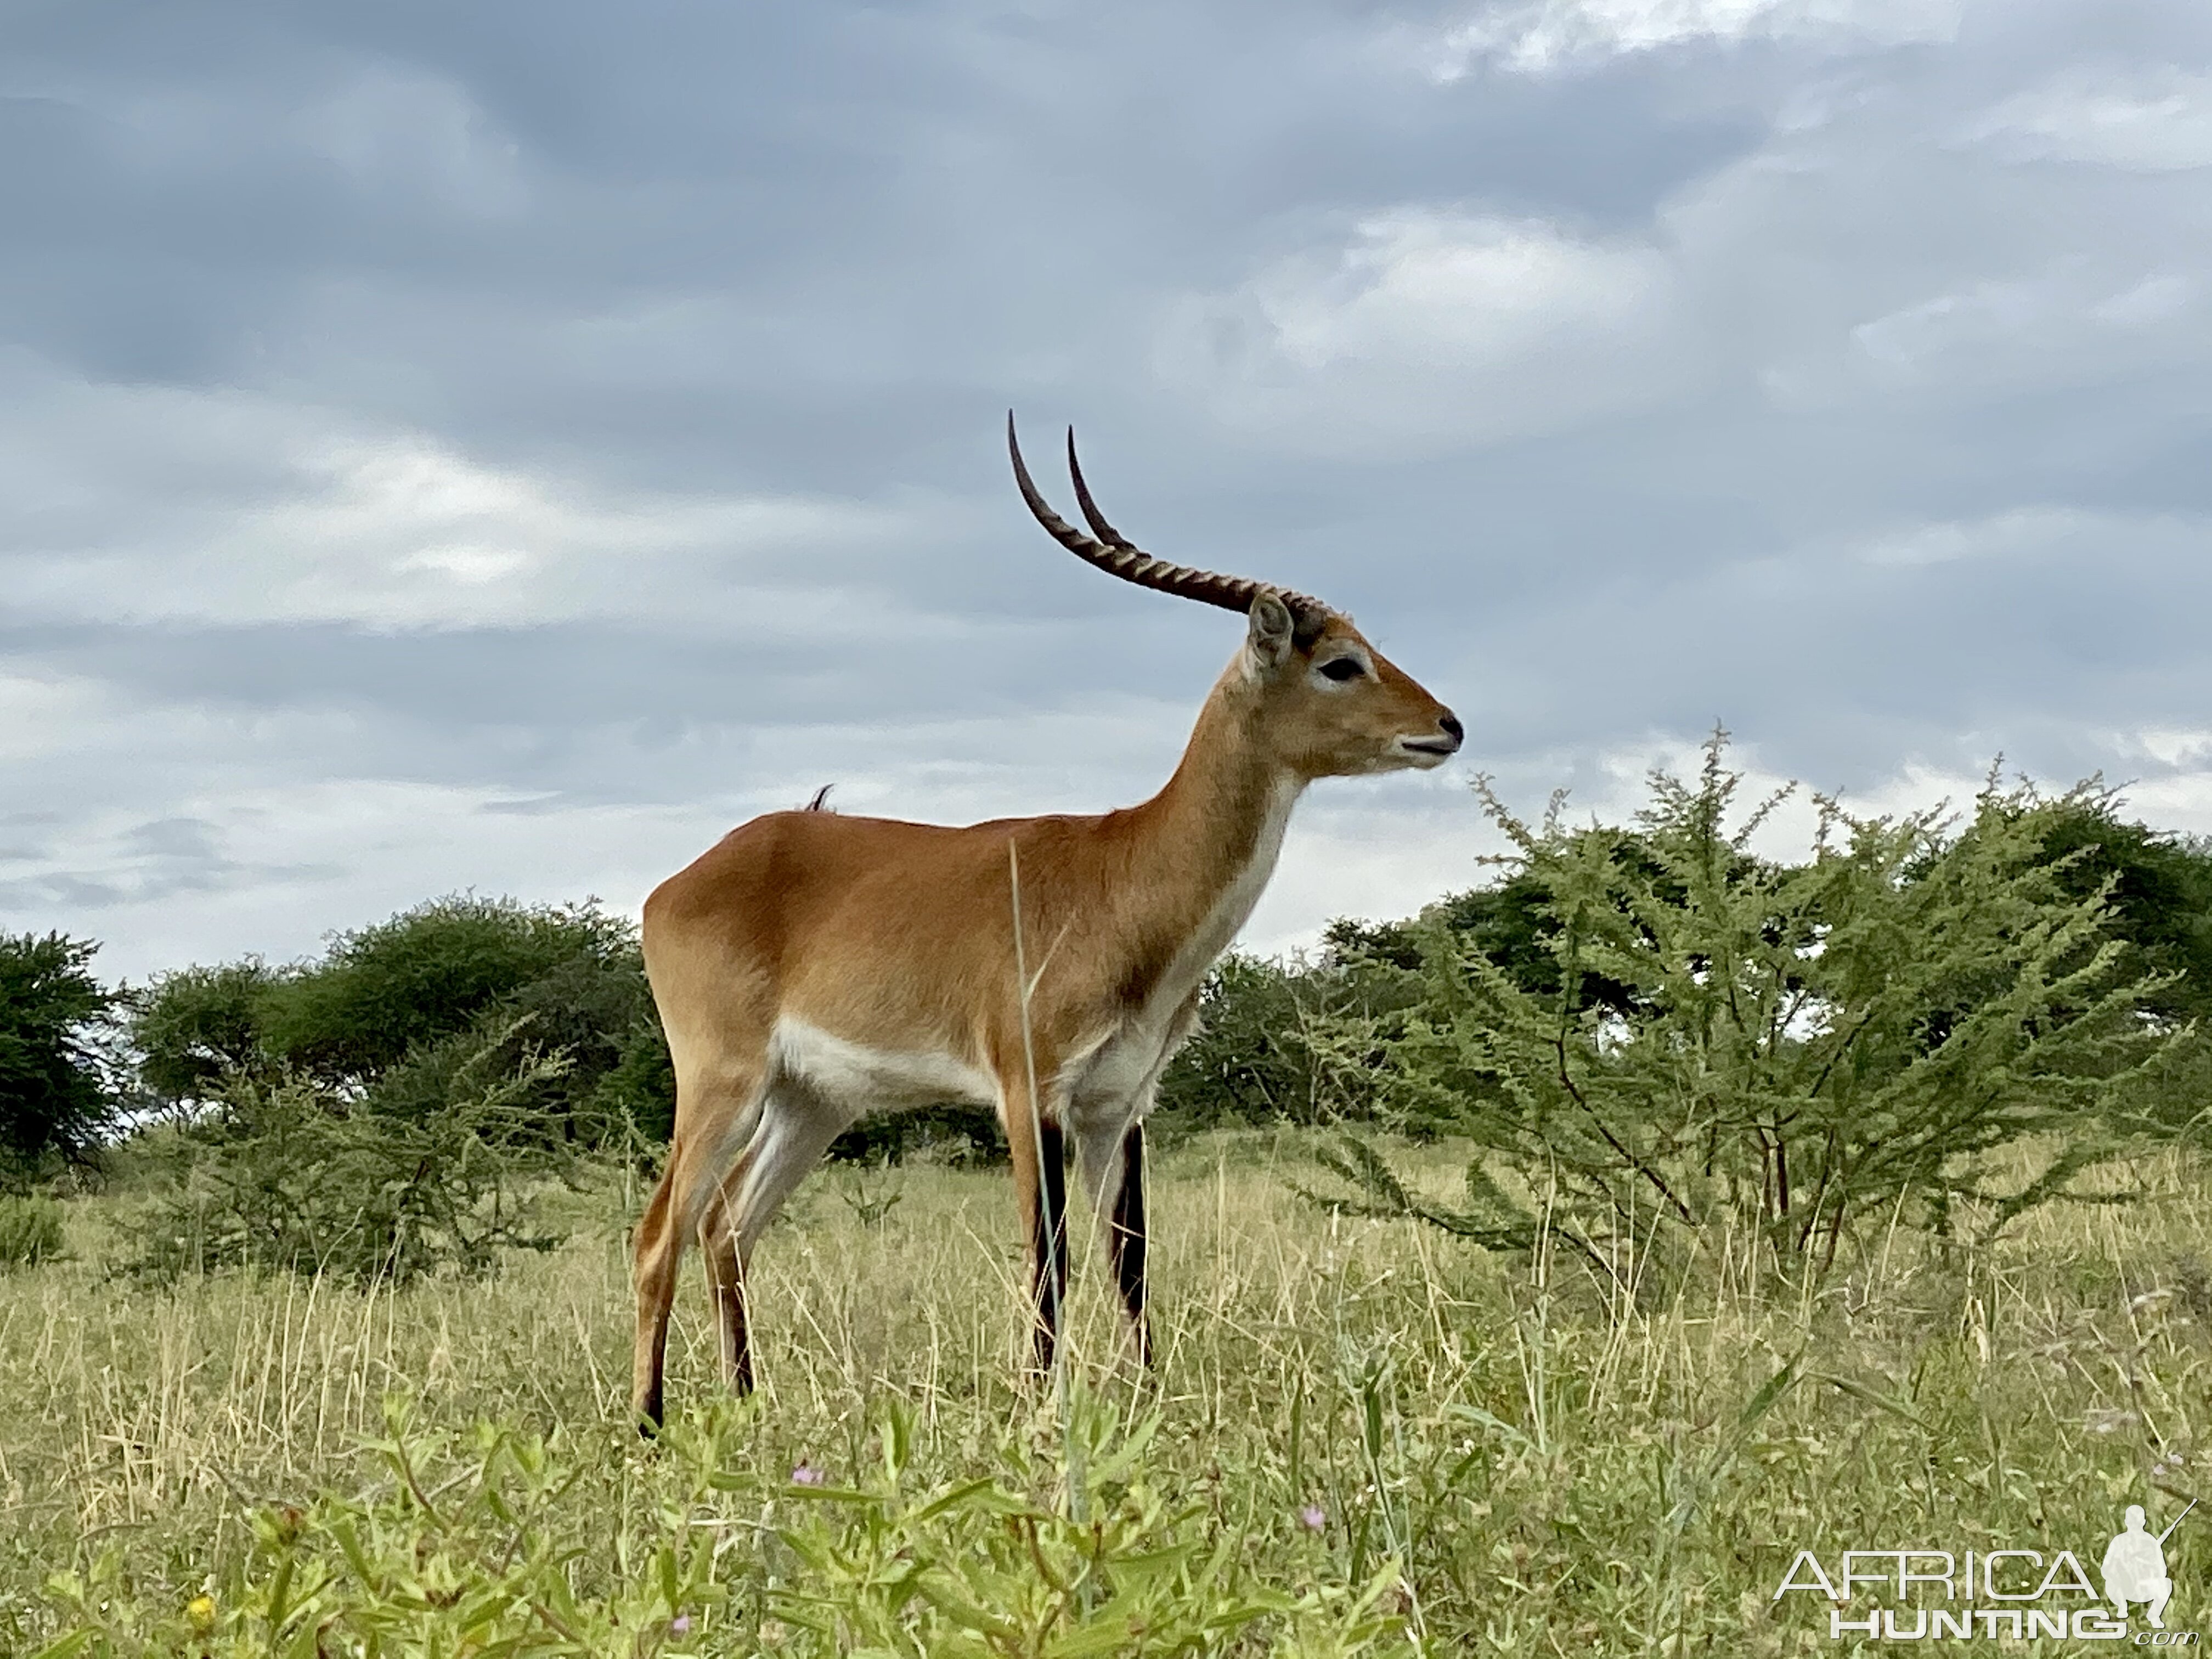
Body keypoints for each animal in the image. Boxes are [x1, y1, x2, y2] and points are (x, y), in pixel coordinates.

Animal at [633, 418, 1460, 1433]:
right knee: (660, 1232)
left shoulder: (1122, 1103)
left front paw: (1149, 1405)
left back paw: (750, 1406)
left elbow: (1130, 1261)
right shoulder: (1030, 1092)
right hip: (721, 1081)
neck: (1126, 876)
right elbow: (1049, 1257)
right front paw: (1040, 1413)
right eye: (1340, 662)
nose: (1447, 724)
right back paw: (649, 1423)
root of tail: (686, 878)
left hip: (811, 1101)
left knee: (727, 1227)